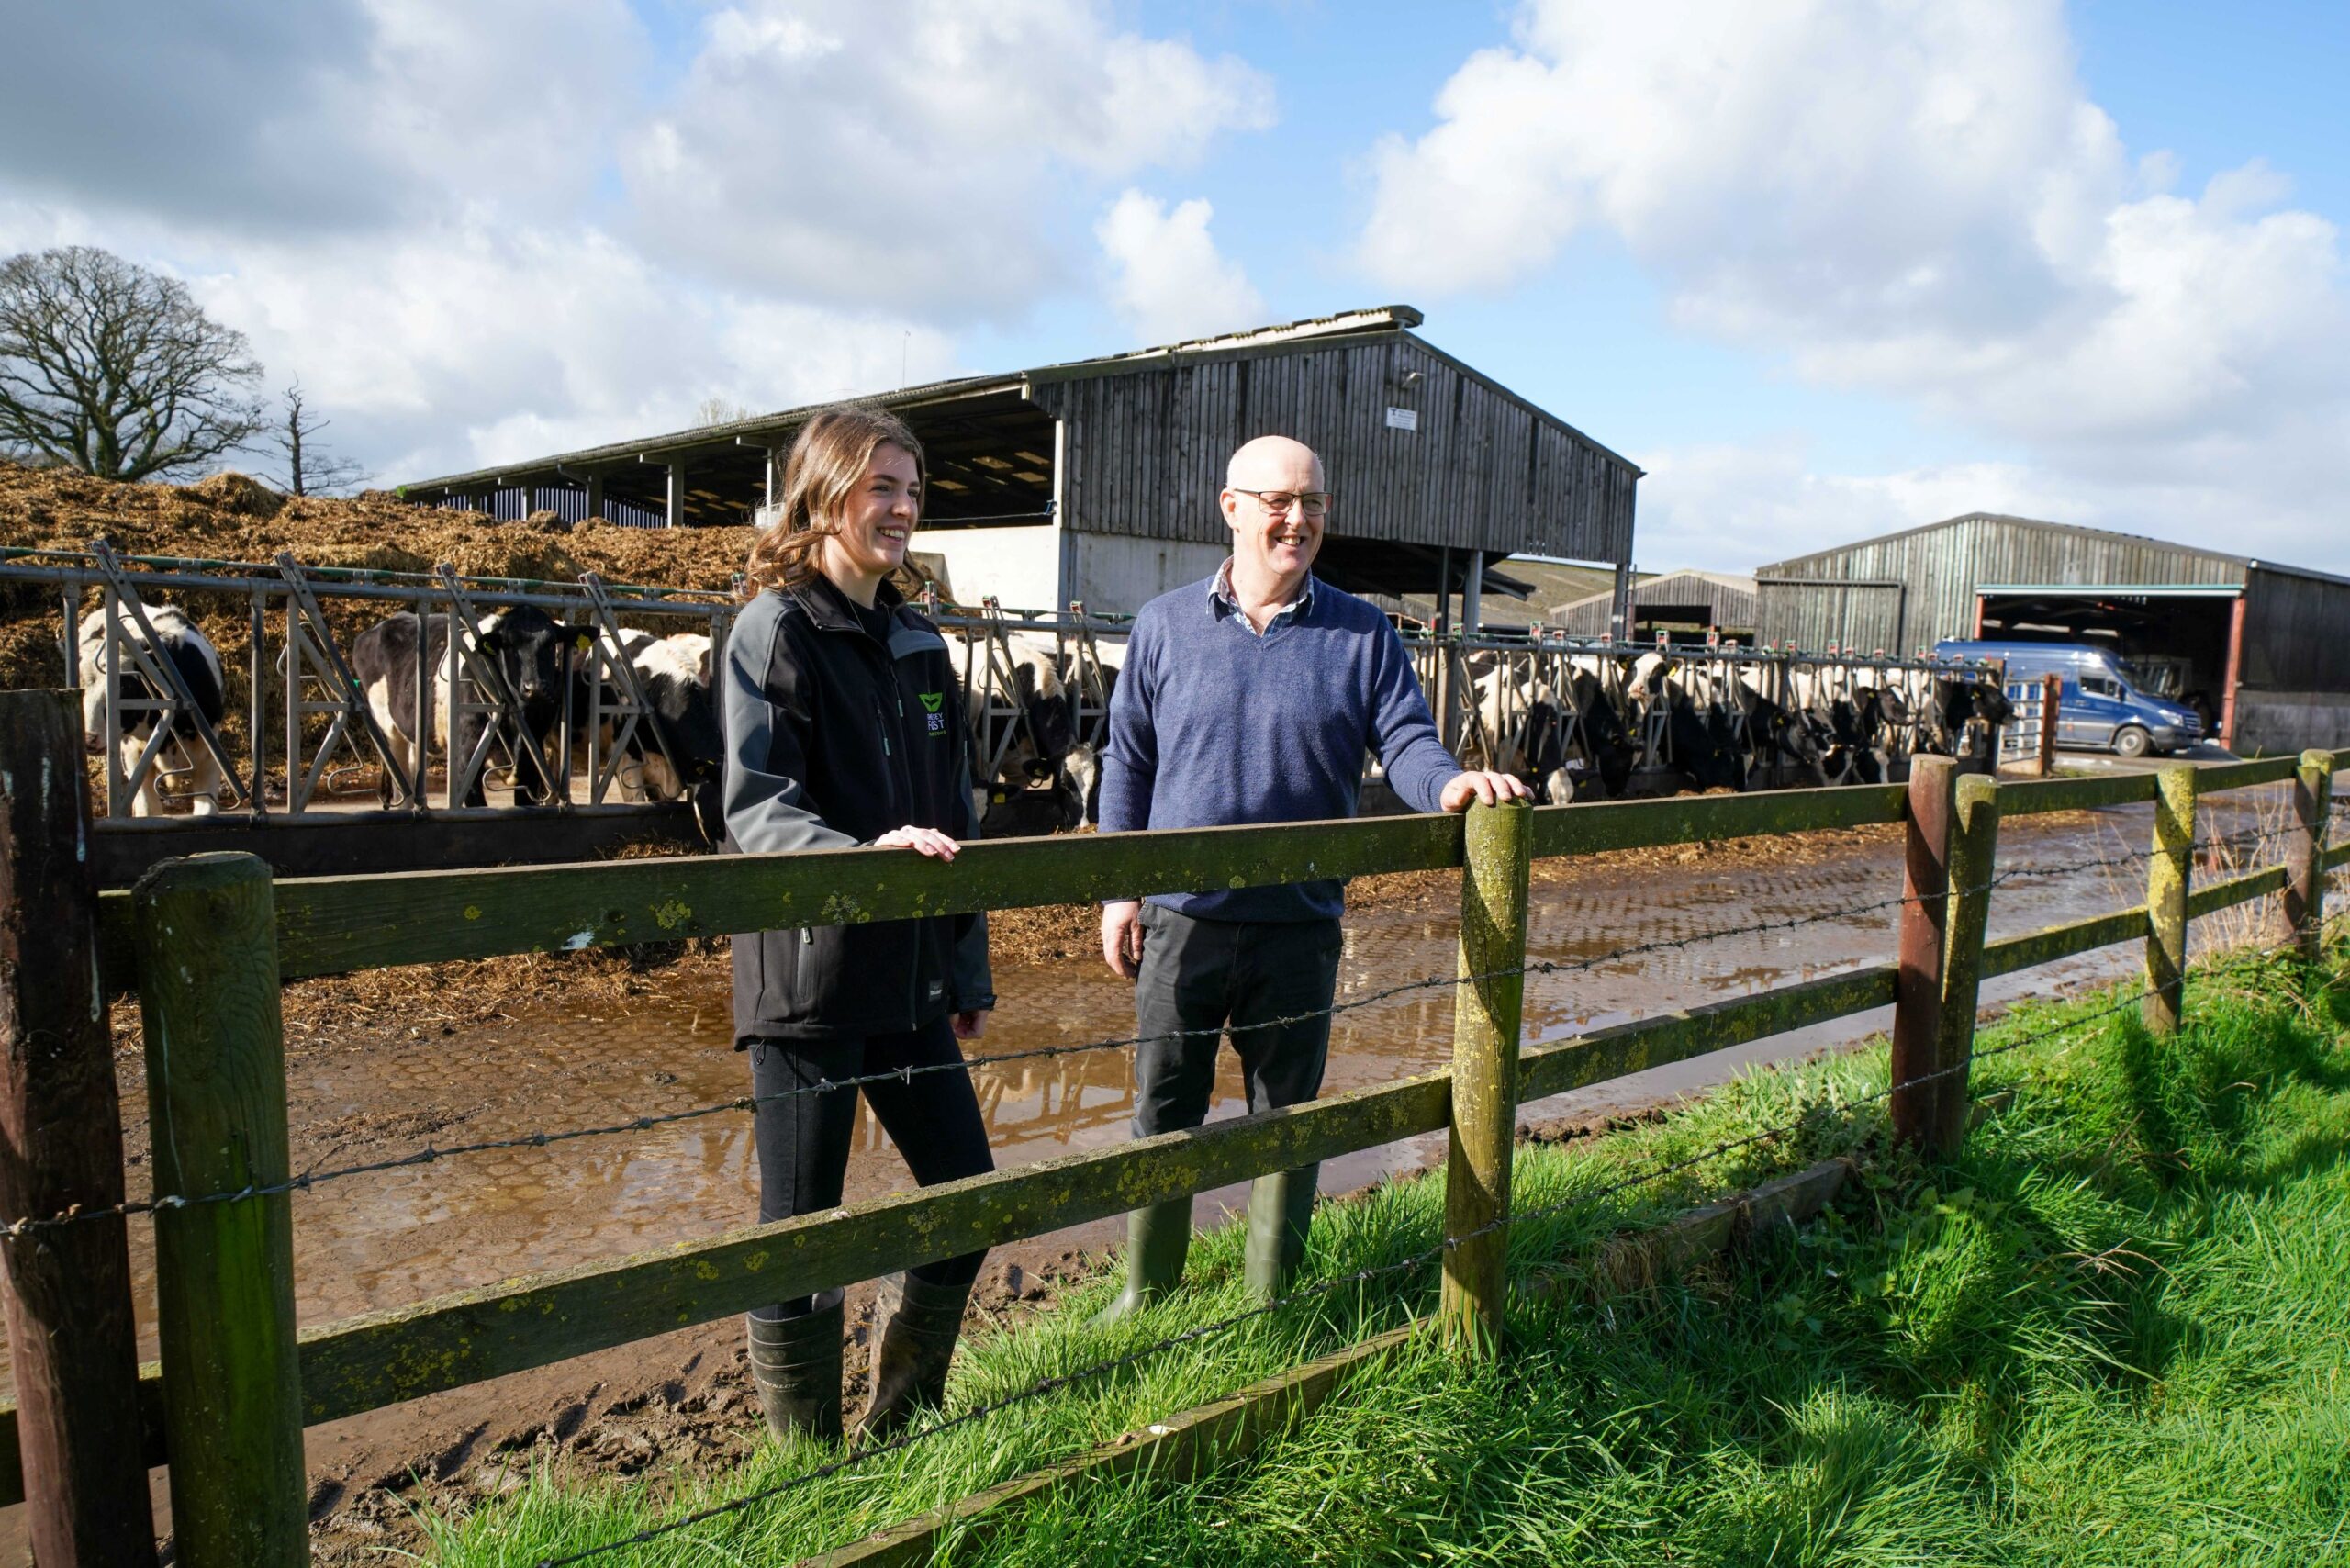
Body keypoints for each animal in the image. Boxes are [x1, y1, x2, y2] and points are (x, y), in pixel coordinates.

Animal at [76, 606, 225, 818]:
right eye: (80, 687)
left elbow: (206, 811)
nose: (89, 738)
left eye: (125, 686)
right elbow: (148, 809)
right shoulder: (134, 757)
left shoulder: (209, 758)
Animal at [347, 606, 568, 808]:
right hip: (388, 730)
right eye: (508, 644)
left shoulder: (533, 758)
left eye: (551, 644)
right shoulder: (465, 759)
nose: (535, 688)